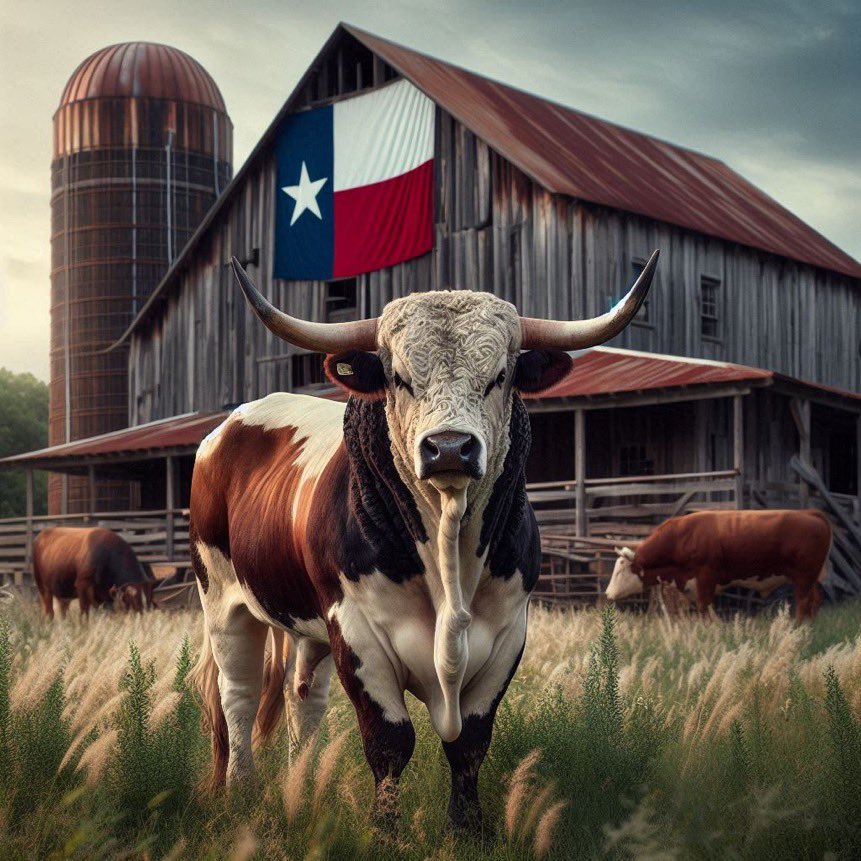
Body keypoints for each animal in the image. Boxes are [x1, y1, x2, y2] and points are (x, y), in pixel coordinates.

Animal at [190, 249, 660, 828]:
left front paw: (469, 829)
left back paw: (303, 786)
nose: (450, 448)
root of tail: (227, 427)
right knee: (238, 696)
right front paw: (383, 831)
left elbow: (469, 744)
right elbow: (390, 742)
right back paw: (242, 791)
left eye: (500, 376)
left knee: (304, 701)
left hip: (308, 627)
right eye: (399, 376)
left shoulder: (507, 634)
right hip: (223, 600)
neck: (448, 551)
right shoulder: (358, 632)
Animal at [600, 508, 828, 620]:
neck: (682, 538)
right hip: (811, 579)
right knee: (815, 600)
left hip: (803, 577)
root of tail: (810, 513)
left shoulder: (706, 578)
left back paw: (797, 629)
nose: (607, 594)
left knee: (803, 603)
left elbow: (706, 610)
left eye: (619, 570)